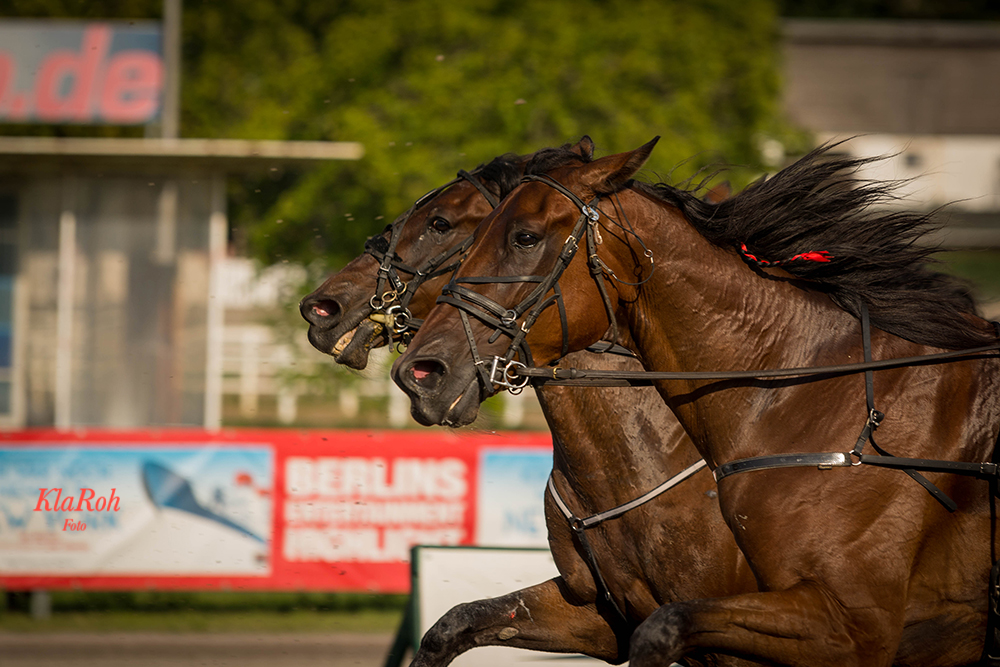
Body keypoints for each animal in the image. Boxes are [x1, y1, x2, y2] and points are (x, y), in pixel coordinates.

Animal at [394, 138, 1000, 664]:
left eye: (522, 236)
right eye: (473, 232)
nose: (420, 372)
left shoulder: (850, 626)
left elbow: (666, 629)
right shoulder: (604, 609)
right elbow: (454, 624)